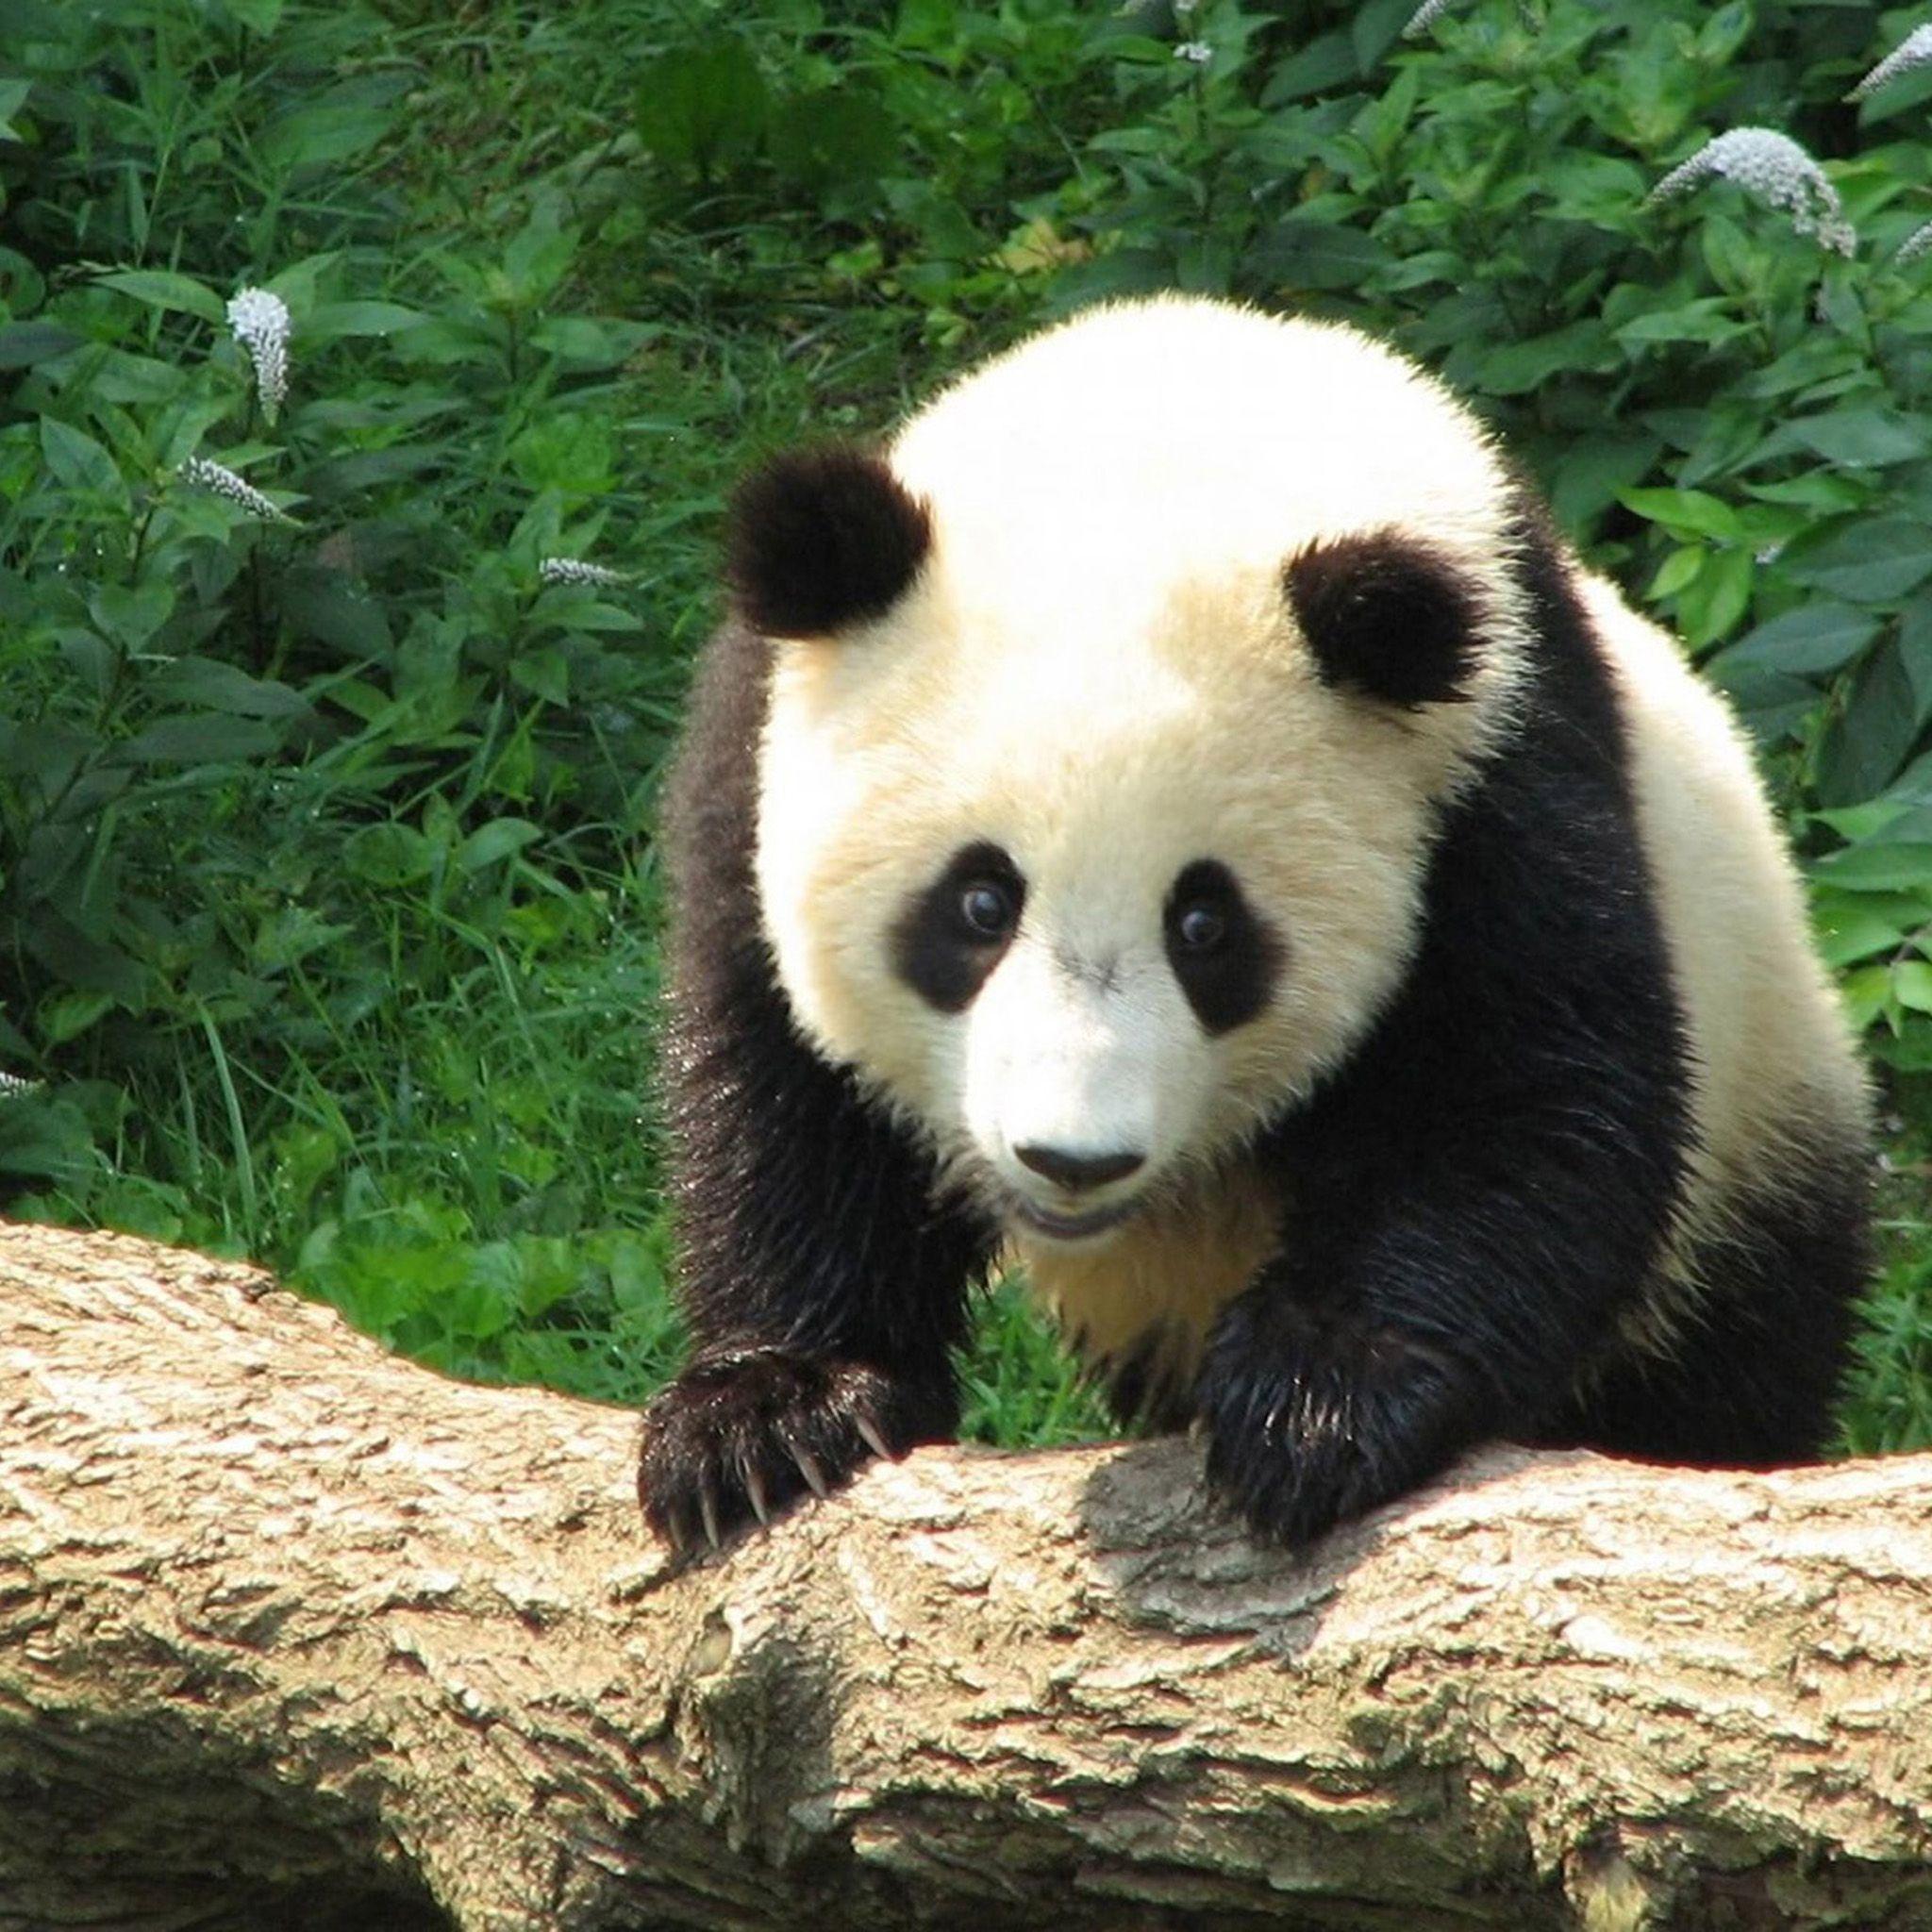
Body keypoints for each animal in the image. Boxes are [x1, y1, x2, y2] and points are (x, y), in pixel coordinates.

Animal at [638, 295, 1873, 1554]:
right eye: (978, 902)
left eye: (1205, 926)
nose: (1071, 1157)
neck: (1185, 426)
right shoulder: (753, 754)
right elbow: (774, 1080)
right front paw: (771, 1413)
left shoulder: (1497, 768)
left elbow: (1532, 1097)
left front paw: (1315, 1400)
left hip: (1755, 1115)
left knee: (1724, 1356)